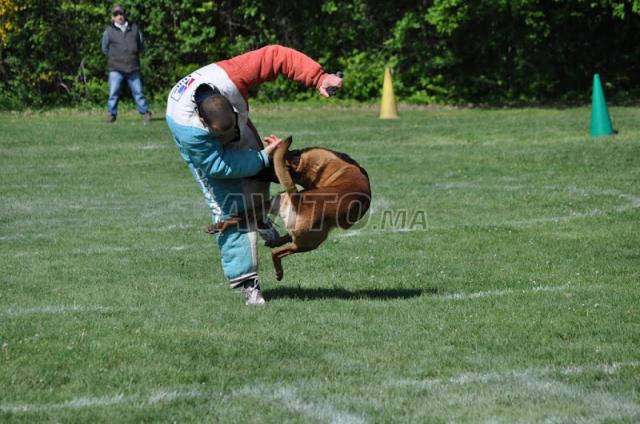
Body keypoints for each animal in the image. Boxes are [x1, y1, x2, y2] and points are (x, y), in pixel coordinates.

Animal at [210, 137, 370, 282]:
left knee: (244, 216)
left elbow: (286, 235)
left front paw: (275, 240)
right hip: (310, 243)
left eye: (269, 166)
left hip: (270, 205)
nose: (248, 172)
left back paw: (220, 226)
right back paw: (279, 272)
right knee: (278, 252)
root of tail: (298, 201)